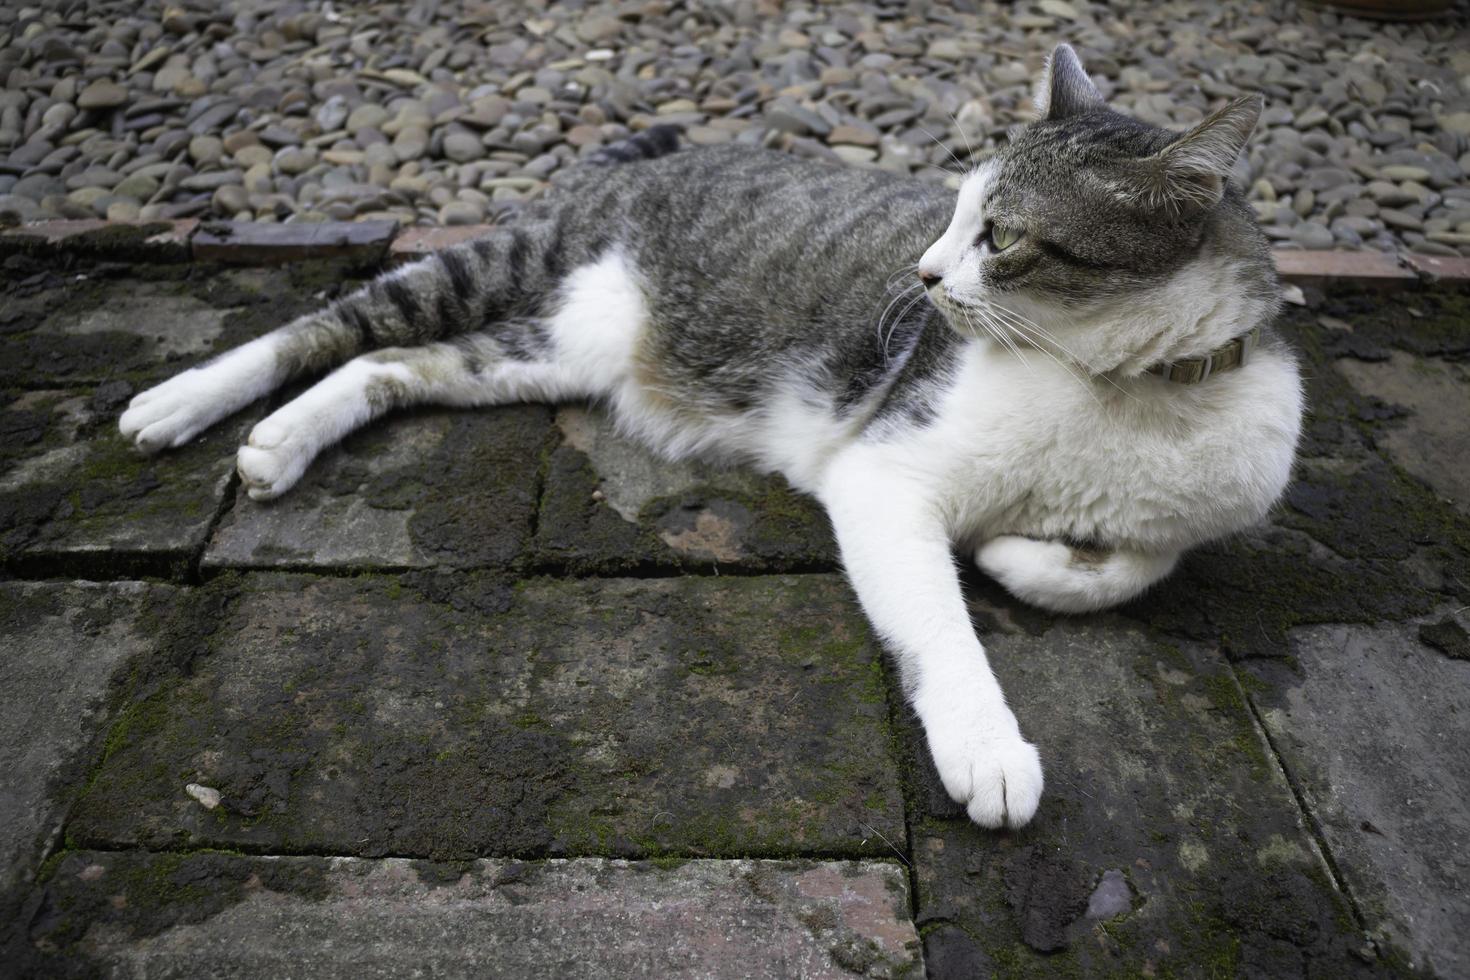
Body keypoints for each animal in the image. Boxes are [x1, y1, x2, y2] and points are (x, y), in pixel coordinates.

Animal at [120, 45, 1305, 828]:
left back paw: (279, 441)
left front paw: (1025, 552)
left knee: (387, 367)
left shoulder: (1190, 517)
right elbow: (942, 628)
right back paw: (180, 403)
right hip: (510, 268)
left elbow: (1132, 567)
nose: (922, 276)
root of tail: (628, 166)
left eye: (1001, 236)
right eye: (952, 212)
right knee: (337, 323)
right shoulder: (883, 476)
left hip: (557, 346)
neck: (1117, 391)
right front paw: (988, 745)